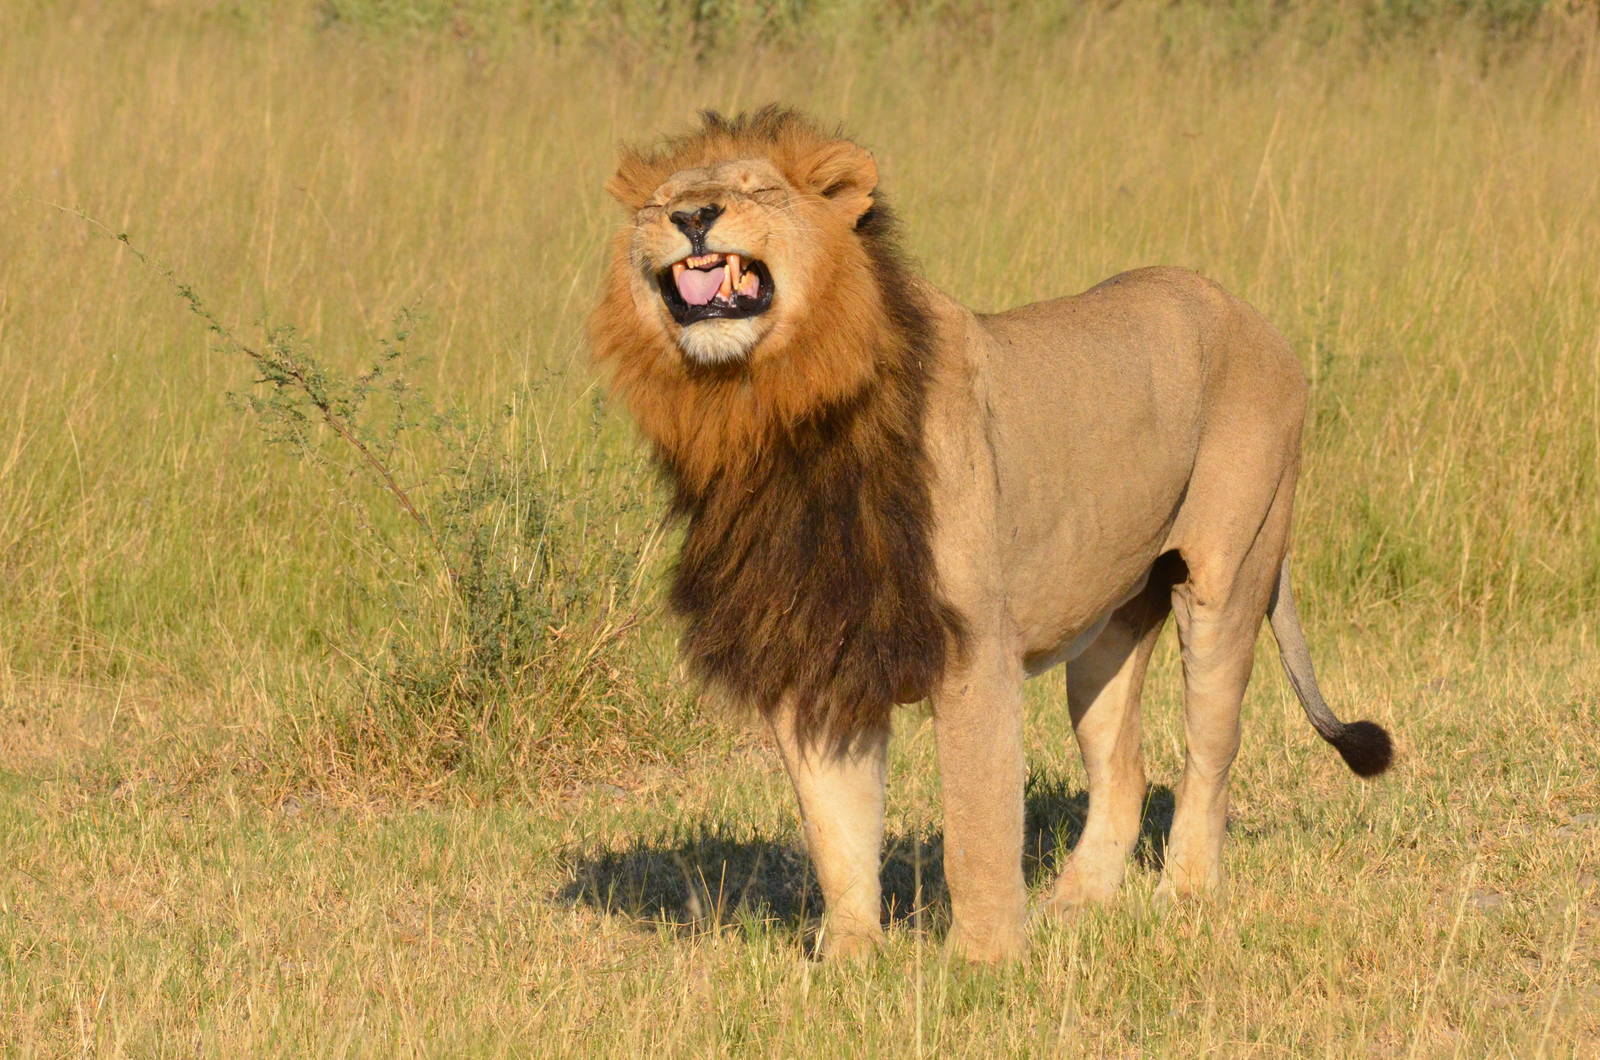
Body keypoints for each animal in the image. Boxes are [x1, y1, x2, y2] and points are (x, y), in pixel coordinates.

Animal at [590, 107, 1393, 963]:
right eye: (658, 204)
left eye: (759, 190)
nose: (691, 218)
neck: (770, 416)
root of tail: (1249, 313)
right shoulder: (817, 646)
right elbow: (836, 828)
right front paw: (848, 962)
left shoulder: (975, 648)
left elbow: (976, 826)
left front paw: (984, 963)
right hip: (1110, 627)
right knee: (1124, 772)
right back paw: (1073, 908)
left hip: (1230, 576)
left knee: (1211, 754)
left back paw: (1184, 897)